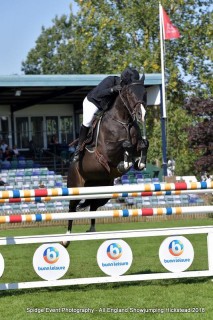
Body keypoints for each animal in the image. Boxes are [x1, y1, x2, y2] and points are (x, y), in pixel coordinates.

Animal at [62, 76, 149, 246]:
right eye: (130, 93)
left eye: (144, 92)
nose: (141, 114)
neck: (123, 121)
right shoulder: (106, 152)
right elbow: (125, 145)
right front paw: (125, 163)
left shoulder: (137, 144)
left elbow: (143, 144)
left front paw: (139, 163)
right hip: (75, 187)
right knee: (72, 209)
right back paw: (66, 239)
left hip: (103, 191)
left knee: (93, 206)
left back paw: (92, 230)